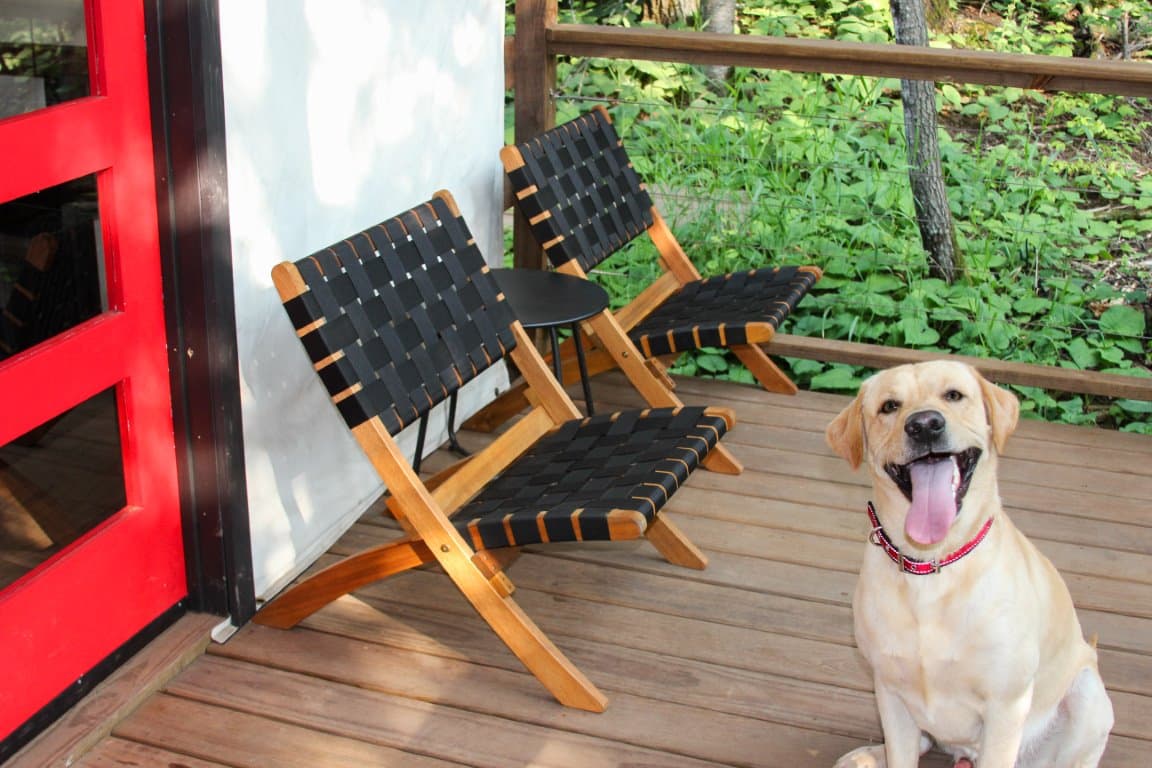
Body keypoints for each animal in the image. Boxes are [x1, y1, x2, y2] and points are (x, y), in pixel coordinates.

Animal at [824, 361, 1110, 768]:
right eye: (889, 406)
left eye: (954, 395)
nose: (925, 424)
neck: (931, 565)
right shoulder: (890, 691)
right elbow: (902, 753)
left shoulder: (1006, 706)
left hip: (1088, 698)